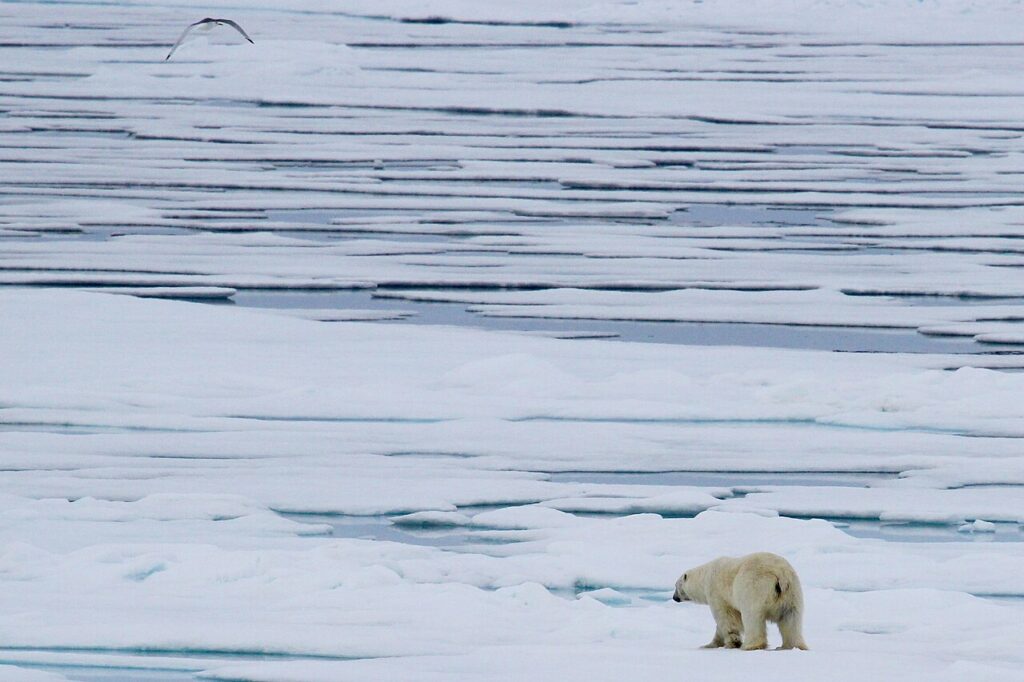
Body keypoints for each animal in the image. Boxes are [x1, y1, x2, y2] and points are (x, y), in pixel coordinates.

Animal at [673, 552, 807, 651]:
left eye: (676, 586)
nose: (674, 597)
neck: (705, 576)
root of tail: (780, 575)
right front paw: (710, 644)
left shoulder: (717, 594)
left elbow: (726, 618)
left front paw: (732, 643)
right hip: (792, 592)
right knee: (791, 618)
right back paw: (790, 646)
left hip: (754, 587)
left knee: (752, 617)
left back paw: (750, 645)